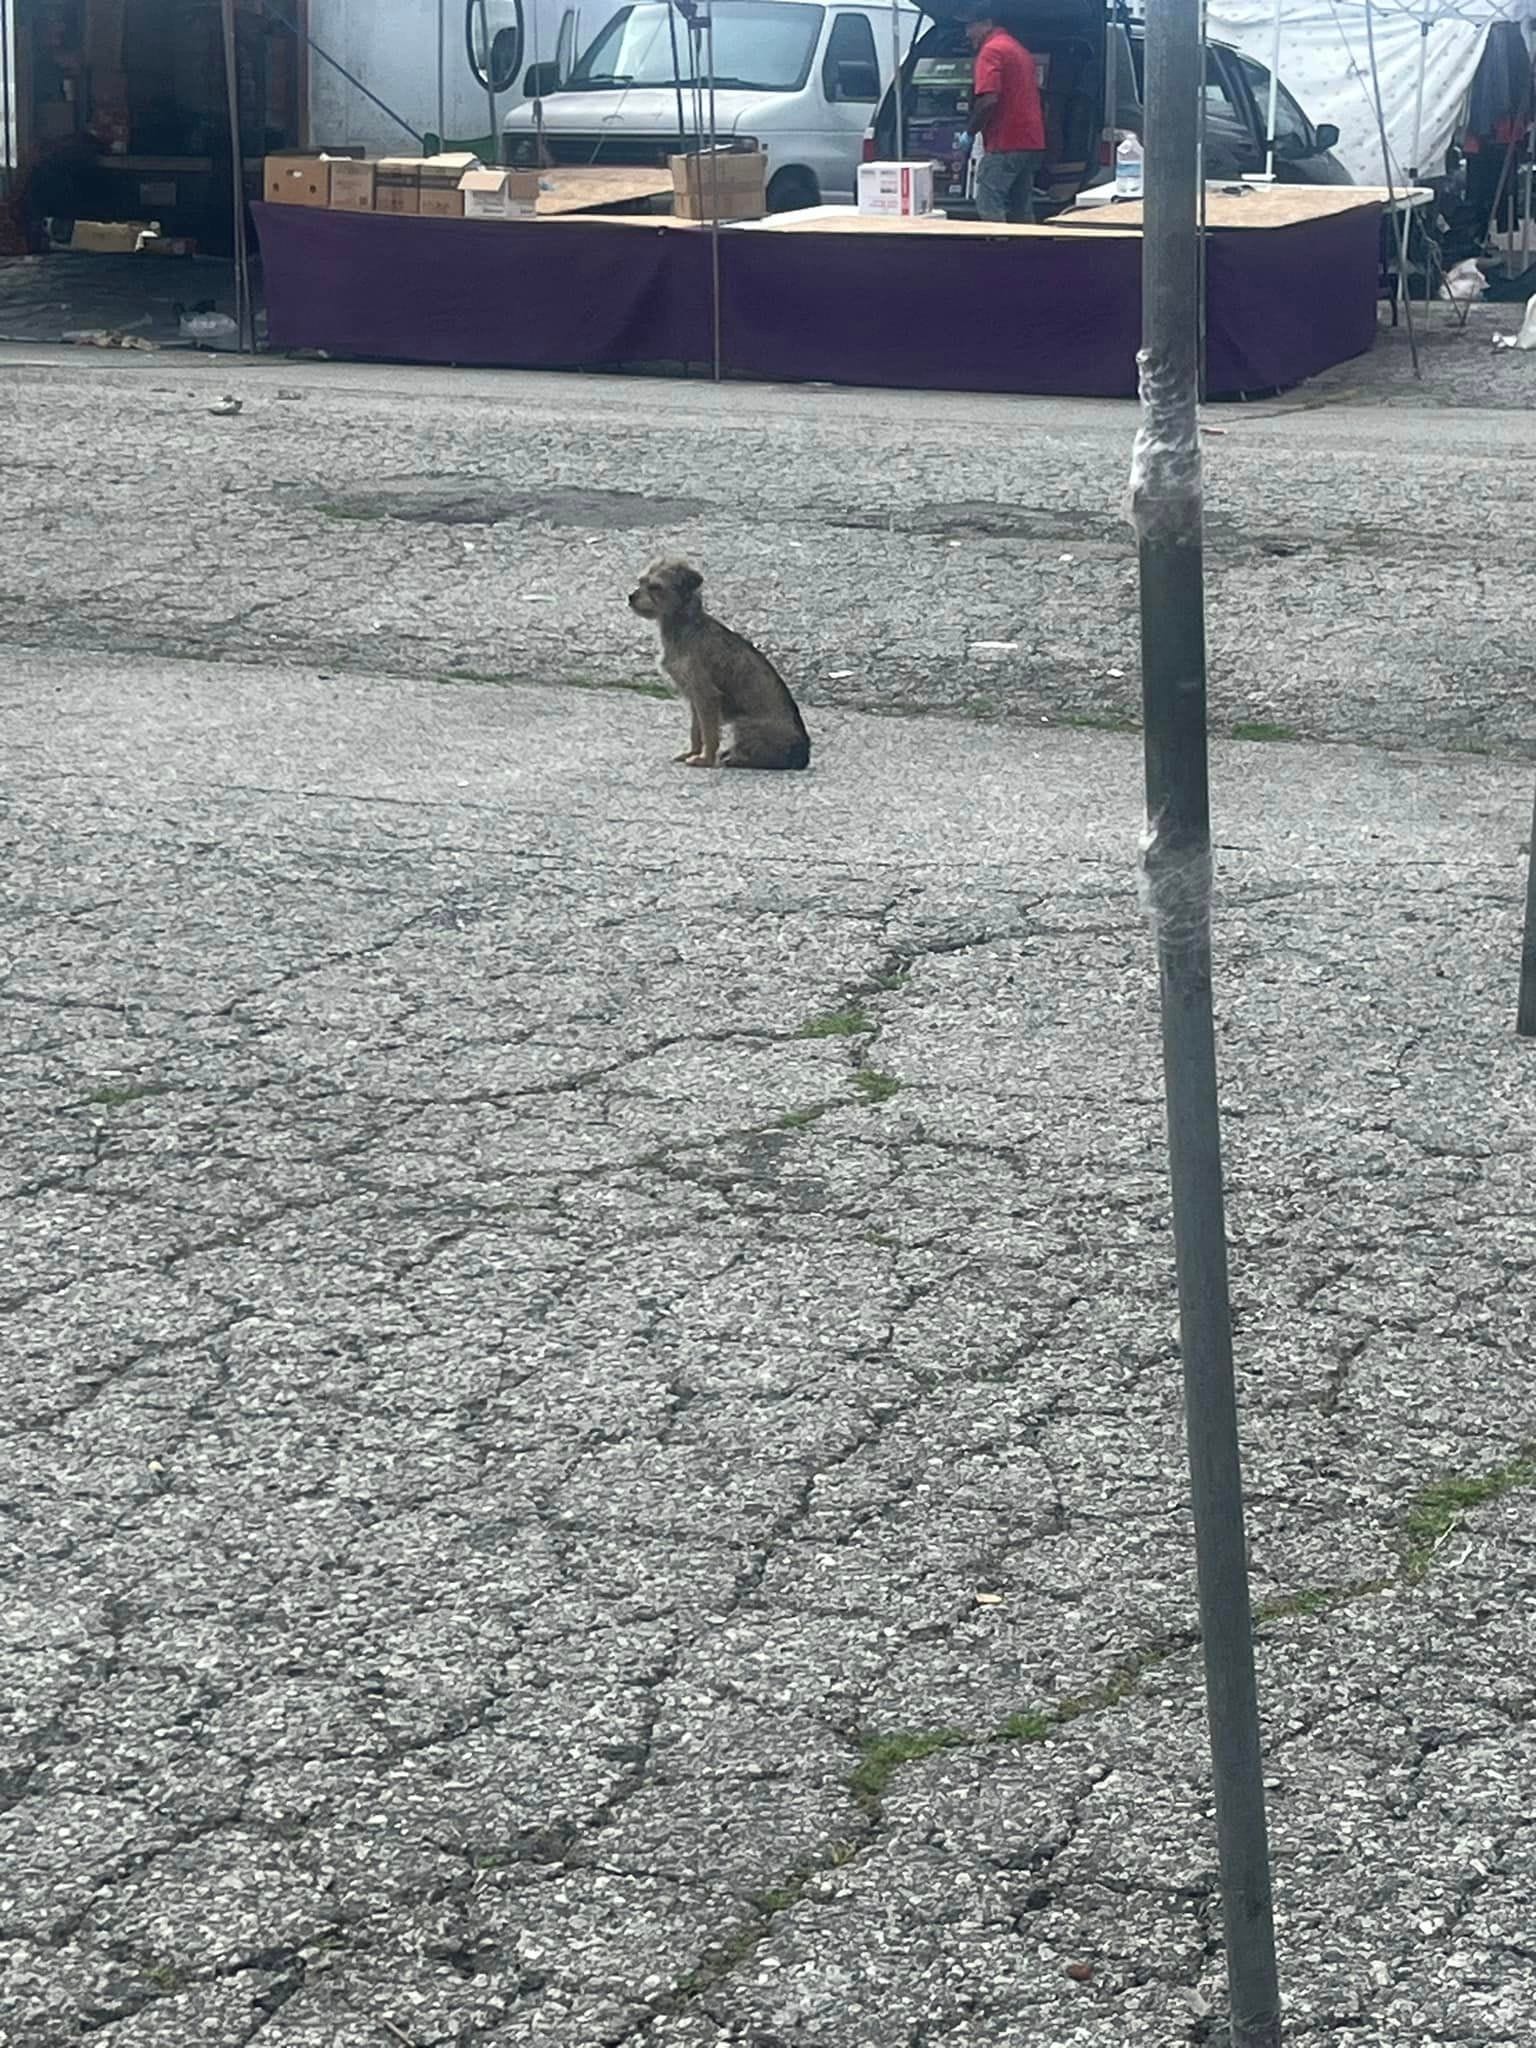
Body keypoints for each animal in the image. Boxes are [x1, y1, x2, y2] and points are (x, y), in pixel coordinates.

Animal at [626, 557, 811, 770]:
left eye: (656, 587)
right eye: (640, 581)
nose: (630, 596)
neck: (684, 626)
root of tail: (803, 755)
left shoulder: (707, 696)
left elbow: (710, 734)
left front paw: (705, 759)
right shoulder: (695, 699)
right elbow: (696, 731)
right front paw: (692, 753)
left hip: (739, 724)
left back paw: (734, 758)